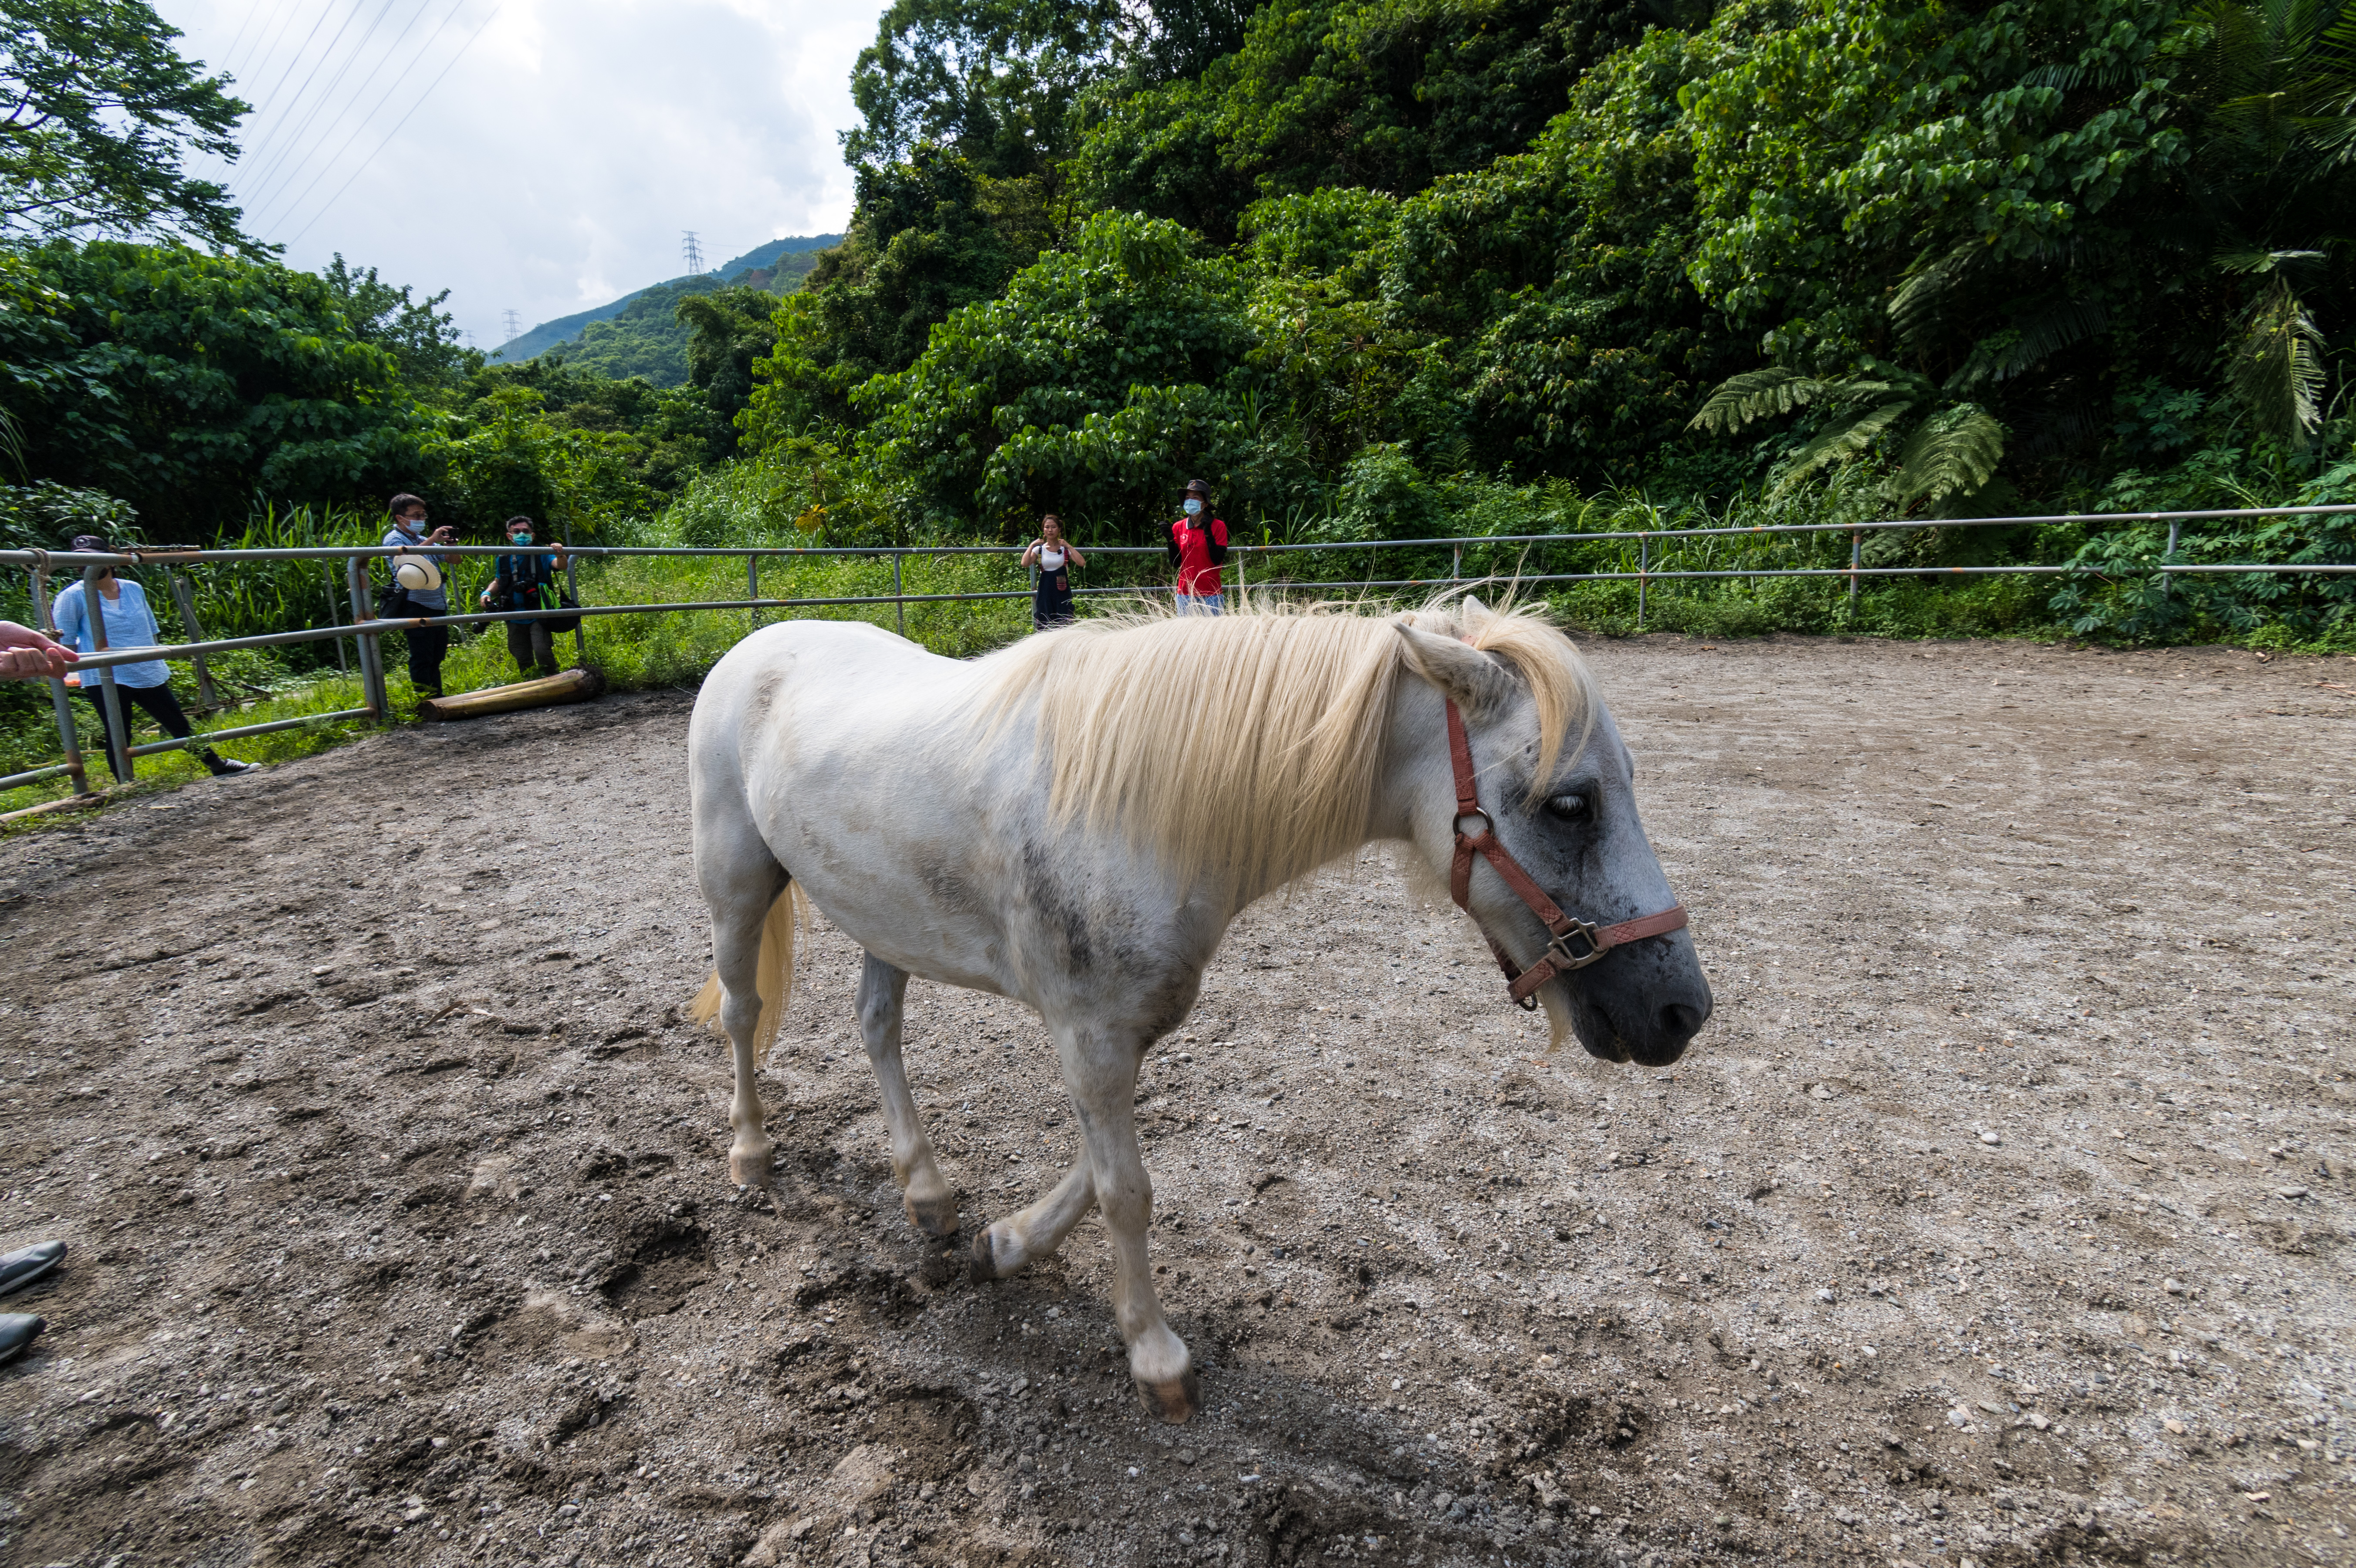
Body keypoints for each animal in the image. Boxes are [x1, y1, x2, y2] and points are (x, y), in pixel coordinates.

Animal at [686, 594, 1712, 1423]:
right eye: (1571, 804)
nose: (1681, 1011)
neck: (1131, 809)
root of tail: (758, 644)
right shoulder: (1090, 1034)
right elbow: (1125, 1191)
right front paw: (1155, 1357)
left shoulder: (1123, 1028)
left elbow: (1096, 1170)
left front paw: (1004, 1245)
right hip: (736, 888)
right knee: (741, 1014)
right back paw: (750, 1154)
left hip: (883, 921)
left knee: (877, 1029)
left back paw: (929, 1195)